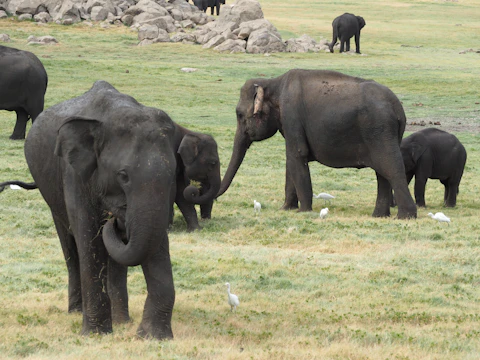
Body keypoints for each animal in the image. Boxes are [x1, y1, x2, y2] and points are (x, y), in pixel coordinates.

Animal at [21, 80, 182, 338]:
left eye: (173, 174)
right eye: (123, 175)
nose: (115, 220)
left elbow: (153, 242)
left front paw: (152, 337)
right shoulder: (74, 173)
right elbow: (88, 238)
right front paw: (95, 334)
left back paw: (122, 321)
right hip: (51, 194)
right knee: (70, 246)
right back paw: (78, 312)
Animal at [217, 69, 416, 218]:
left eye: (239, 115)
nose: (216, 198)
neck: (273, 83)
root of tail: (398, 108)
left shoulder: (292, 115)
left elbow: (297, 155)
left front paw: (303, 211)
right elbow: (291, 162)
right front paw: (285, 209)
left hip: (379, 131)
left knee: (392, 168)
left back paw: (405, 216)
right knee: (382, 173)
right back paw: (379, 216)